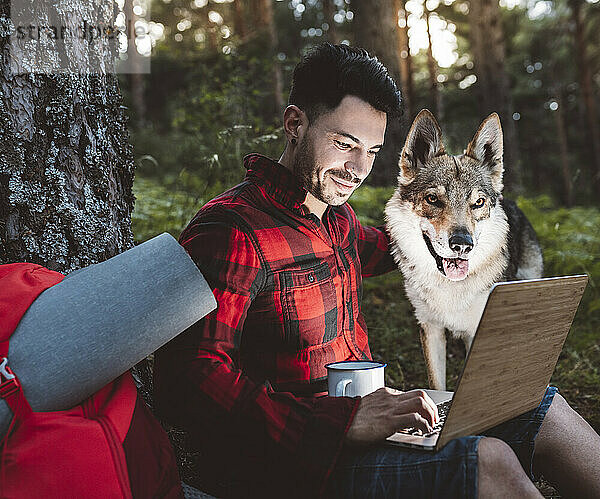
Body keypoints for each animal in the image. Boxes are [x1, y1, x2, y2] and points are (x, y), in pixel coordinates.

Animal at [384, 109, 544, 390]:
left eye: (478, 202)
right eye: (433, 199)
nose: (462, 243)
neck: (451, 287)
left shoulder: (479, 333)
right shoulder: (431, 328)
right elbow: (437, 384)